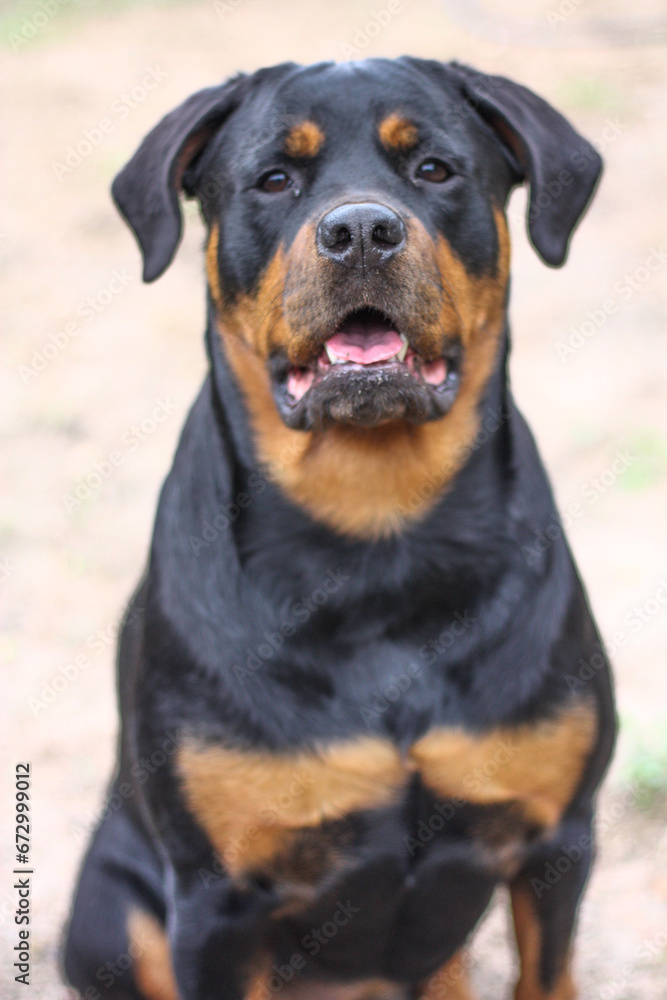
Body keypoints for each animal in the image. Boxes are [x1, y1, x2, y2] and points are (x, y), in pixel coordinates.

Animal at [62, 58, 616, 1000]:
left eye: (433, 169)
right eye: (273, 180)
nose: (360, 229)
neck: (375, 537)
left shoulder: (557, 839)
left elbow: (546, 974)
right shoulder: (216, 901)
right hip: (112, 915)